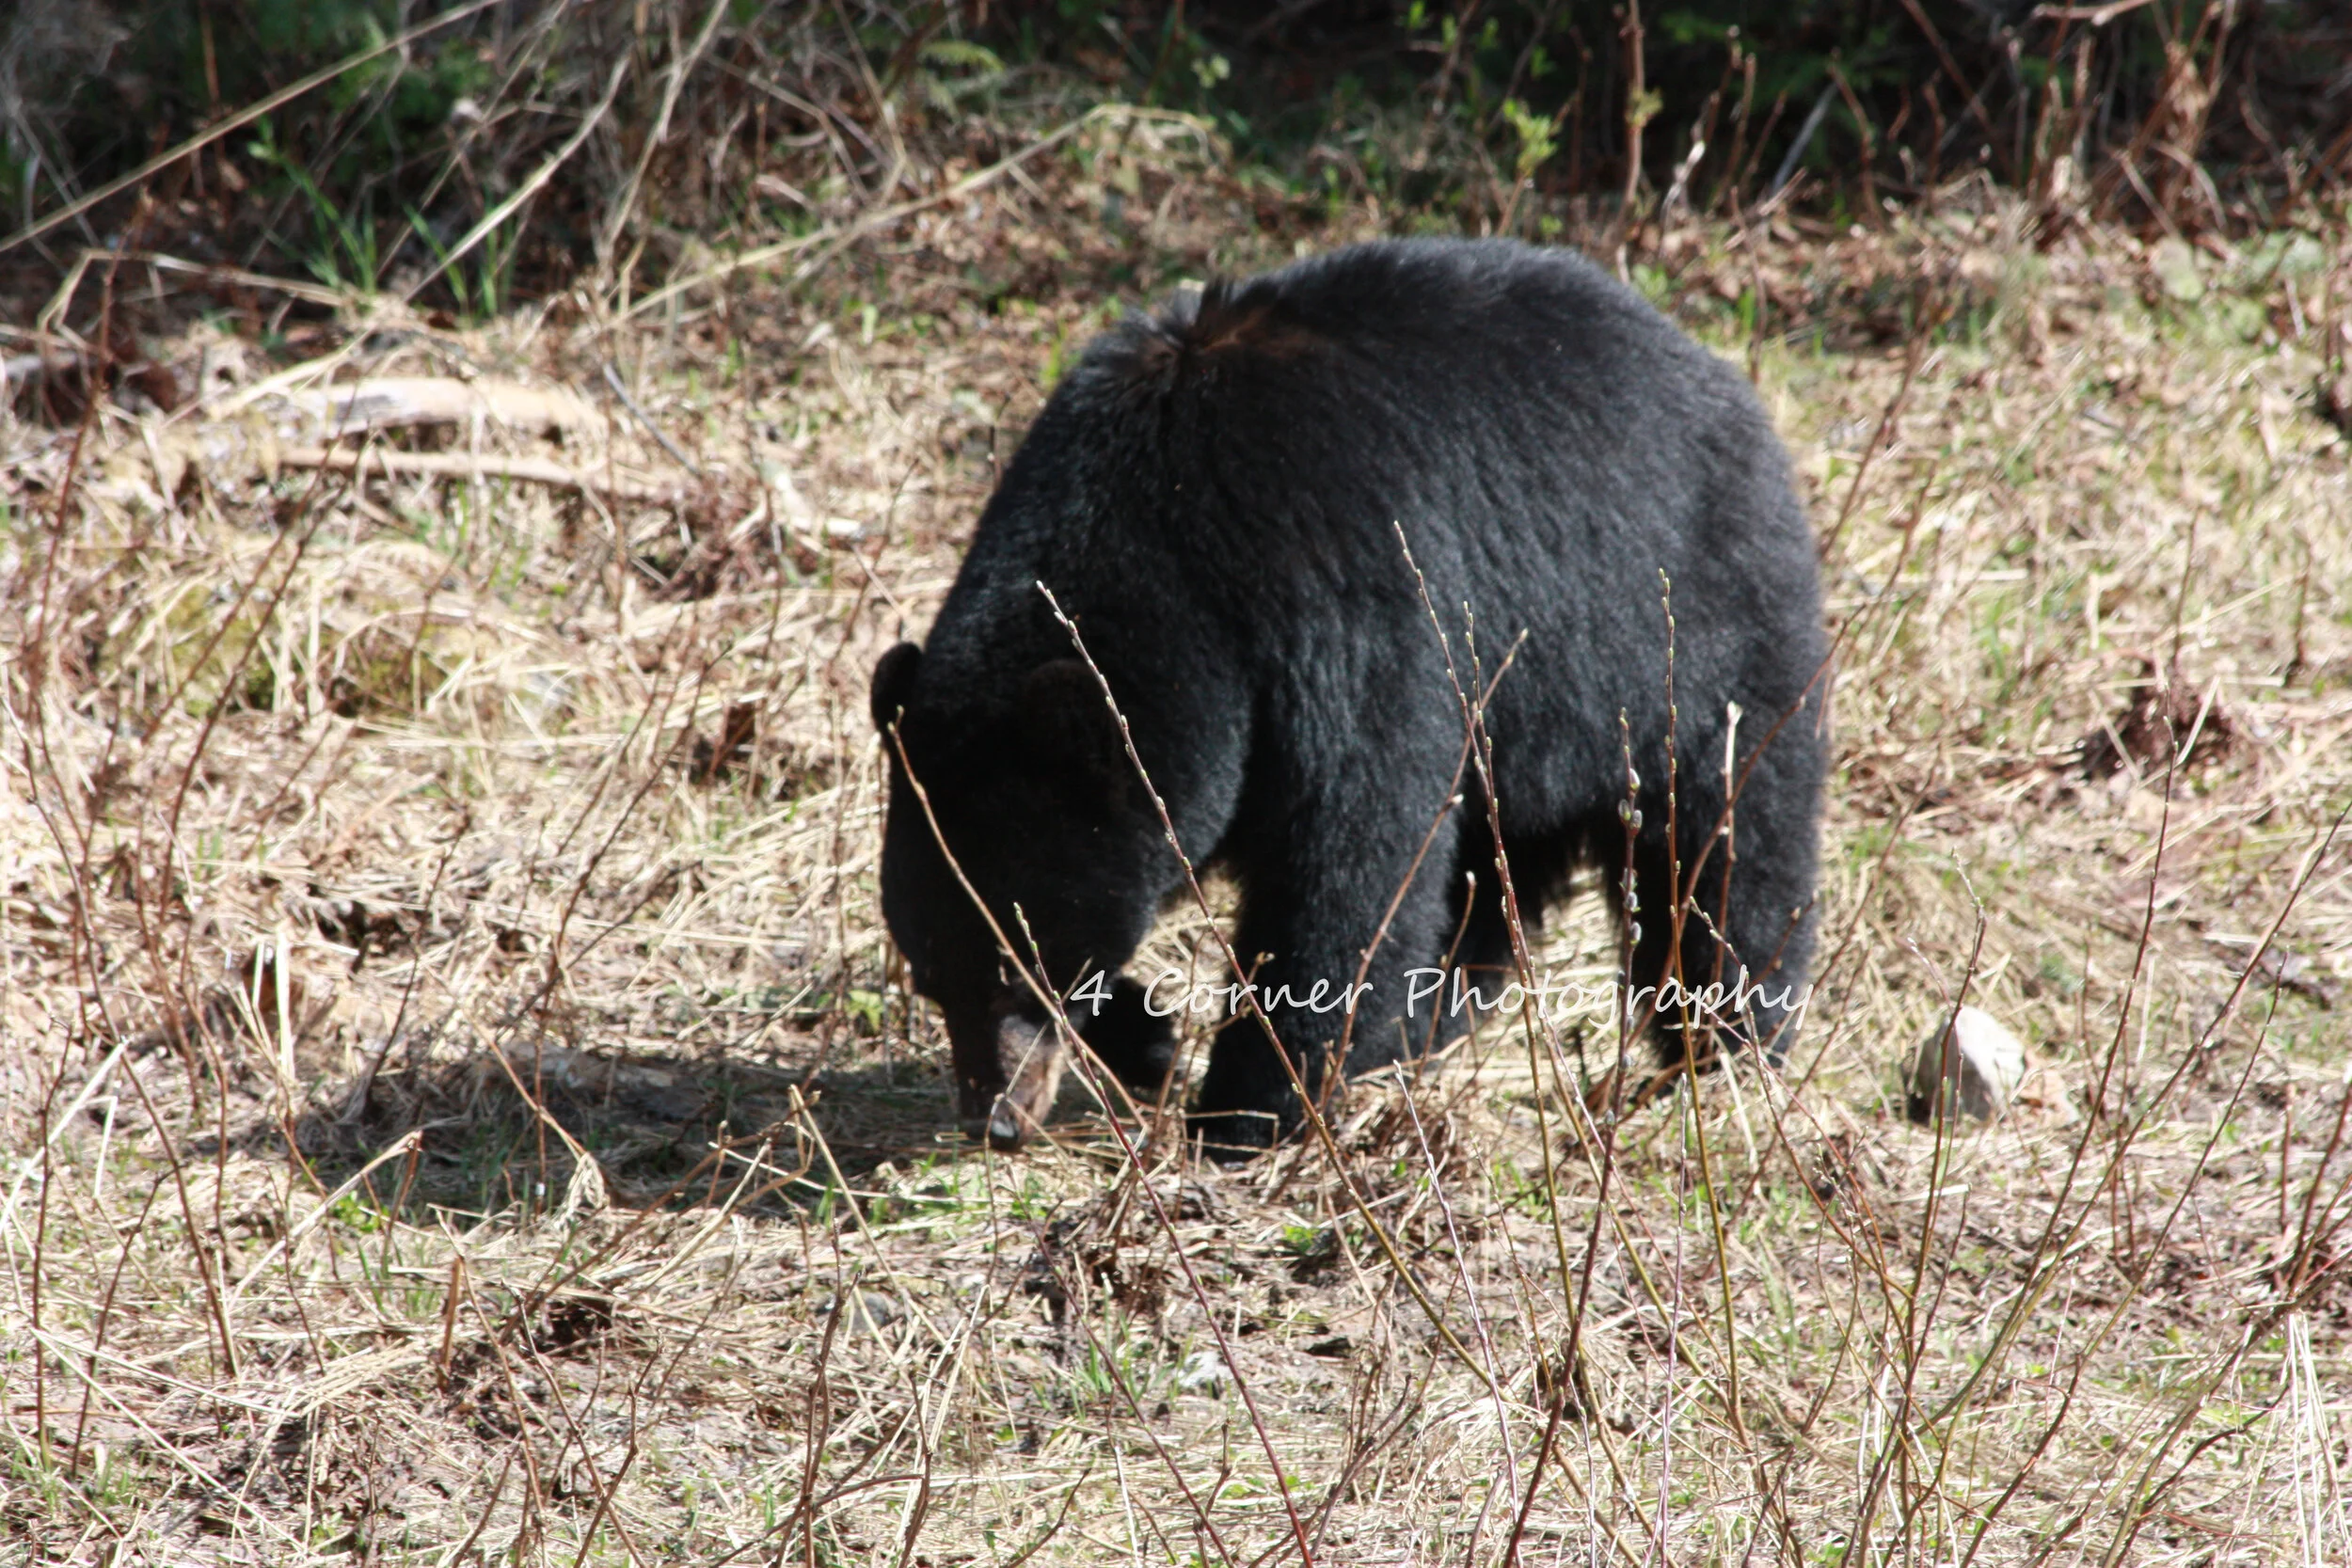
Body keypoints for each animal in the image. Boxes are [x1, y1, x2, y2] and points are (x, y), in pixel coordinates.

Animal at [870, 237, 1828, 1156]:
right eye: (930, 971)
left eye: (1021, 964)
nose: (993, 1121)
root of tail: (1715, 371)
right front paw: (1149, 1038)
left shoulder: (1344, 610)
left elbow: (1348, 862)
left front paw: (1243, 1114)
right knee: (1489, 875)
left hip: (1689, 633)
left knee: (1726, 844)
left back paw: (1721, 1050)